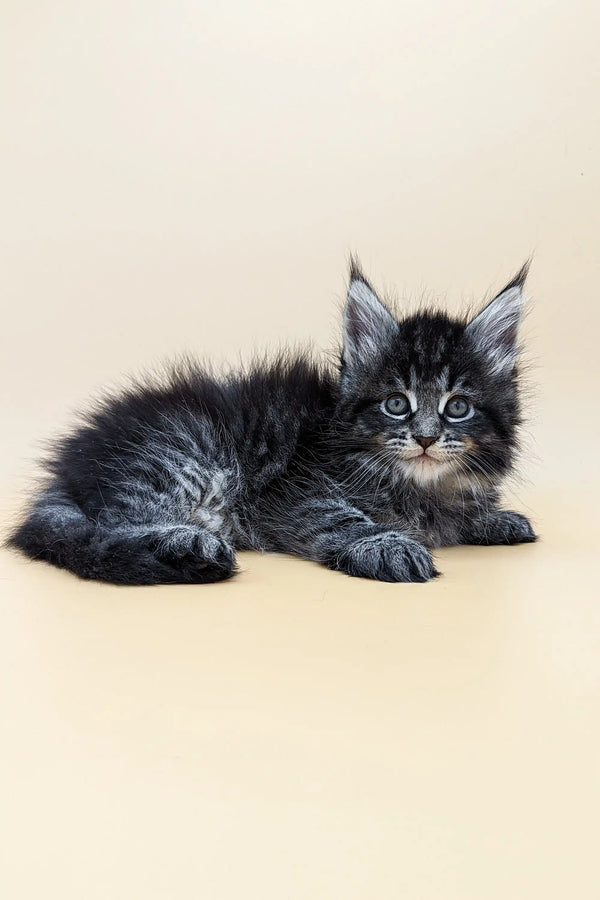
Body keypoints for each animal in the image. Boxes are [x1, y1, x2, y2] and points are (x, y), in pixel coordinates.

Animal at [8, 260, 536, 584]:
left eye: (457, 407)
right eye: (395, 404)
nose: (425, 438)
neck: (420, 488)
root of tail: (71, 464)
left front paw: (493, 518)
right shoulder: (293, 491)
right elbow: (341, 517)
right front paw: (387, 544)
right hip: (185, 460)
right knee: (110, 525)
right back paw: (188, 542)